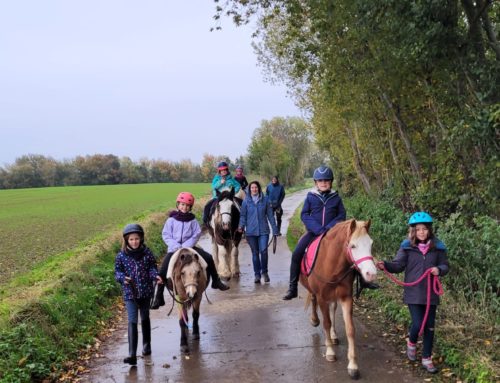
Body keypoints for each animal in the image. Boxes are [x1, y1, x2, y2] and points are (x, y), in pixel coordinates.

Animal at [298, 219, 376, 380]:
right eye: (353, 246)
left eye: (371, 244)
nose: (371, 274)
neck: (331, 263)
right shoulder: (321, 297)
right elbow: (326, 323)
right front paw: (330, 352)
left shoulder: (346, 298)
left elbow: (350, 329)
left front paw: (353, 365)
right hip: (314, 291)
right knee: (314, 300)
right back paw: (315, 320)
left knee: (333, 308)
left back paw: (334, 335)